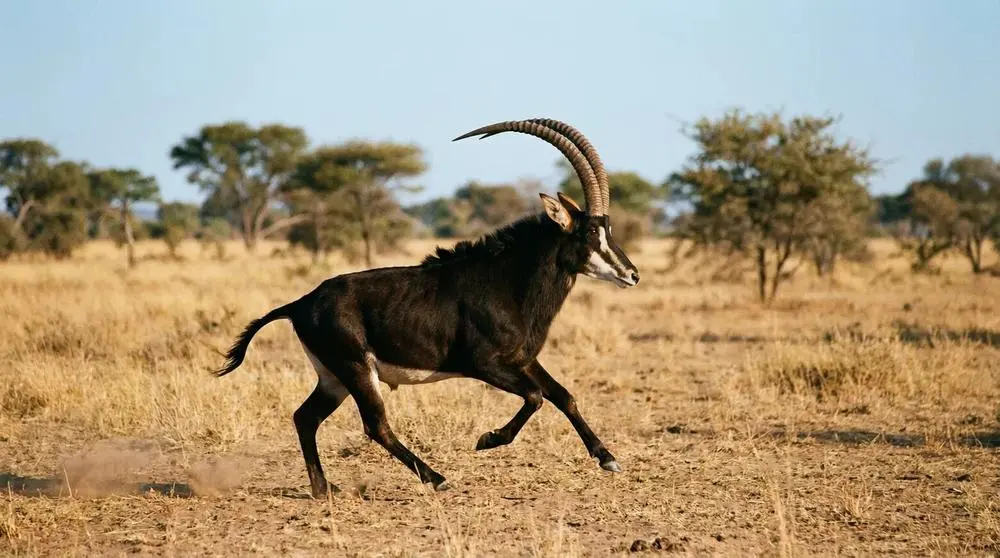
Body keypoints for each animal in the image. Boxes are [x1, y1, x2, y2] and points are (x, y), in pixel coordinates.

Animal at [215, 118, 640, 497]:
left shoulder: (522, 359)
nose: (632, 274)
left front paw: (607, 458)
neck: (508, 280)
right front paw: (488, 439)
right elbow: (535, 397)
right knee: (376, 426)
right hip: (356, 370)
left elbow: (563, 395)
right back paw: (436, 478)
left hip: (332, 378)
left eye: (608, 229)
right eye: (589, 232)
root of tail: (302, 303)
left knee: (305, 418)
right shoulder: (484, 363)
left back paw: (323, 489)